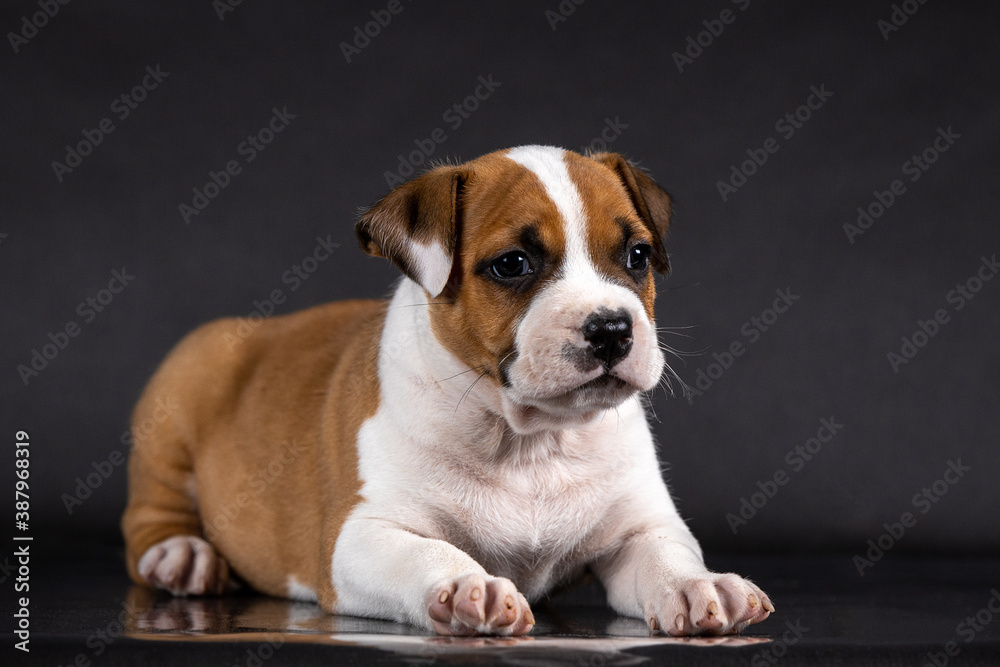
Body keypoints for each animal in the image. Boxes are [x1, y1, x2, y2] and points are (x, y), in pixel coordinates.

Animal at [119, 145, 772, 636]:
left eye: (637, 255)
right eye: (512, 264)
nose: (612, 328)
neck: (529, 439)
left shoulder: (640, 528)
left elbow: (667, 555)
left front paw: (698, 585)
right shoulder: (363, 536)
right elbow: (426, 551)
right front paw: (467, 583)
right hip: (185, 383)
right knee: (148, 517)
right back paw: (182, 555)